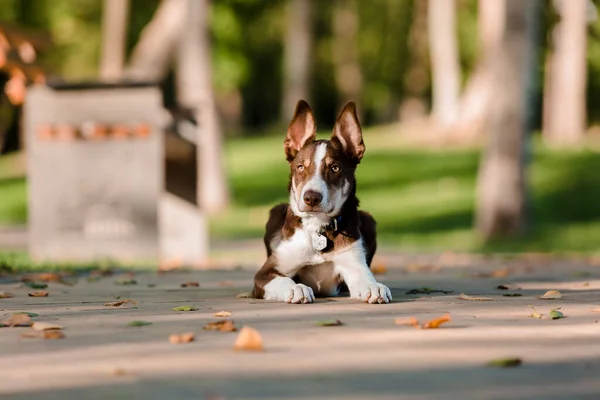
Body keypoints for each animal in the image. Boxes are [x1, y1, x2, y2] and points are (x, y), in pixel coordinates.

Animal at [251, 100, 392, 304]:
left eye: (335, 168)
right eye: (300, 167)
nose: (311, 198)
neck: (317, 227)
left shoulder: (352, 263)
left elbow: (365, 279)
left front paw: (375, 287)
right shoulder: (265, 273)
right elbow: (283, 280)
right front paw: (297, 289)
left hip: (369, 220)